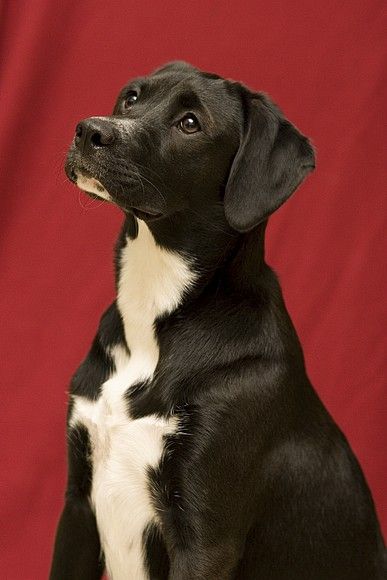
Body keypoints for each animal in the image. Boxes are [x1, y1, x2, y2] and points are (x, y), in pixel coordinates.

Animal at [50, 61, 386, 576]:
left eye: (190, 123)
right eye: (131, 97)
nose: (89, 131)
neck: (154, 316)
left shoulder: (206, 540)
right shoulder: (77, 509)